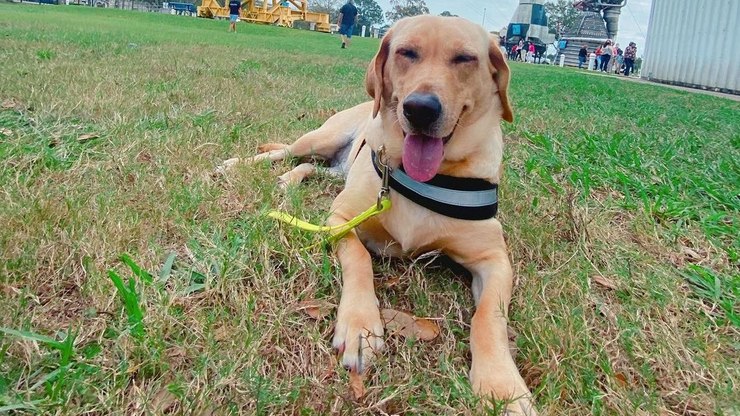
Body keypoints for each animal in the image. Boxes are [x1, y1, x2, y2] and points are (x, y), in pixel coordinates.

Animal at [218, 14, 532, 414]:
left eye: (465, 58)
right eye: (406, 52)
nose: (420, 108)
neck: (427, 177)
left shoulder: (494, 259)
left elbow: (489, 315)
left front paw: (502, 384)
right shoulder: (340, 220)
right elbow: (359, 257)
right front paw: (360, 326)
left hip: (336, 168)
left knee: (309, 167)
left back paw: (288, 183)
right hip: (320, 139)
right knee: (286, 152)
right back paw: (240, 166)